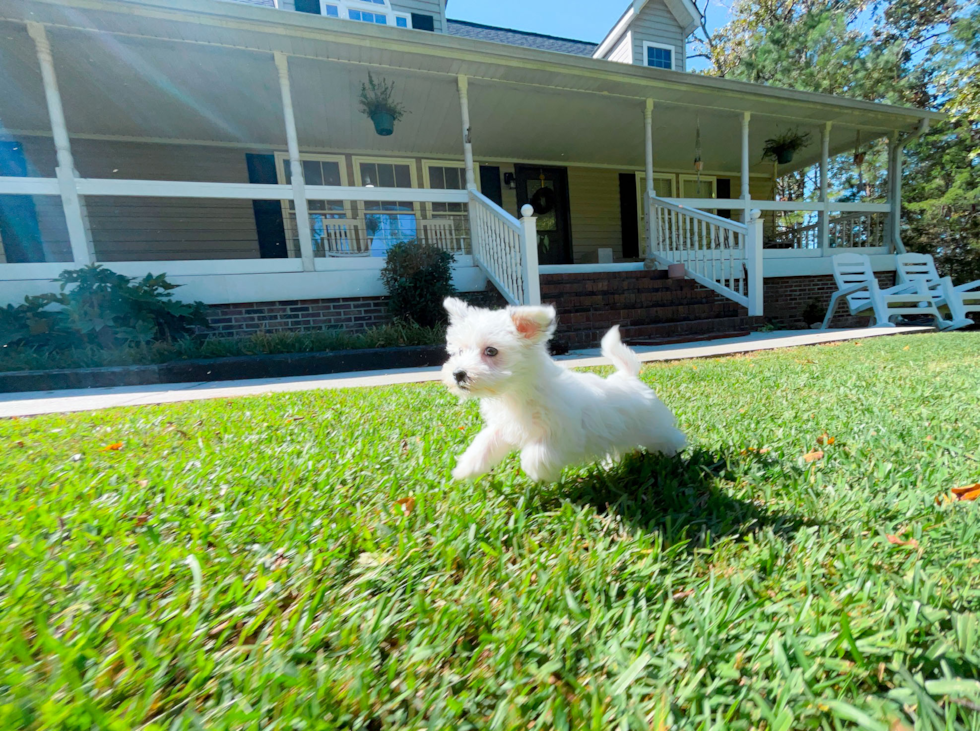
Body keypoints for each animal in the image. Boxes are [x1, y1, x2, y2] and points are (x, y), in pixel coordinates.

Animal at [440, 294, 684, 484]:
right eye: (459, 351)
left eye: (491, 351)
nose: (458, 373)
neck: (518, 392)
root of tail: (628, 376)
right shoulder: (505, 426)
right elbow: (485, 442)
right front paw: (466, 468)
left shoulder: (563, 433)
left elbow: (537, 453)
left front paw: (536, 472)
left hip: (652, 427)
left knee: (669, 436)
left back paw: (675, 454)